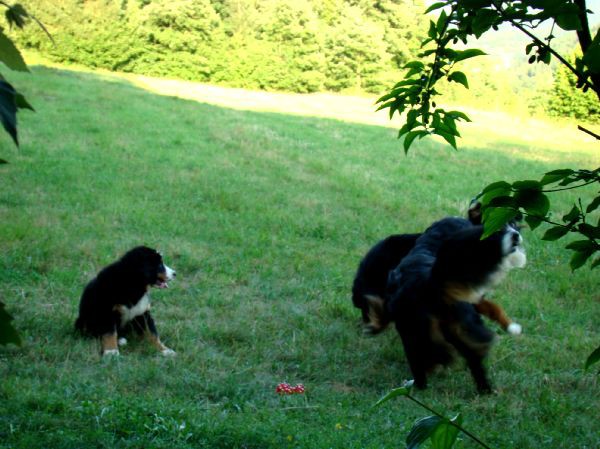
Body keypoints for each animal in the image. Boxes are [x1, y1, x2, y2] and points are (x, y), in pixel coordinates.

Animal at [390, 215, 524, 390]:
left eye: (513, 224)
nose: (515, 235)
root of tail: (430, 281)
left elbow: (495, 309)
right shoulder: (472, 300)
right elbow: (494, 308)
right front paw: (511, 327)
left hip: (420, 333)